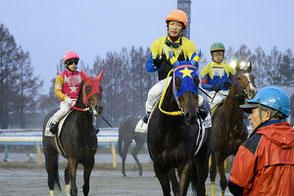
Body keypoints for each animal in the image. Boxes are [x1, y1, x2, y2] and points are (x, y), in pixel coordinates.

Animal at [148, 63, 210, 196]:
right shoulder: (160, 166)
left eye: (197, 81)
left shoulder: (185, 164)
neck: (168, 130)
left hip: (203, 157)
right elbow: (170, 189)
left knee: (201, 186)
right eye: (177, 81)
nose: (191, 115)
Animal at [209, 63, 258, 195]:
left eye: (253, 77)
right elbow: (223, 182)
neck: (231, 122)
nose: (252, 91)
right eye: (239, 78)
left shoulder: (237, 151)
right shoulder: (219, 155)